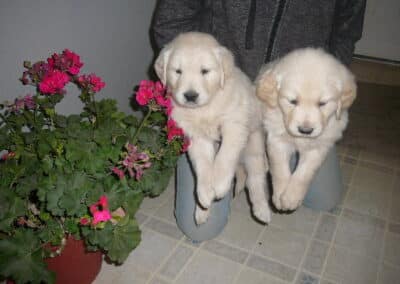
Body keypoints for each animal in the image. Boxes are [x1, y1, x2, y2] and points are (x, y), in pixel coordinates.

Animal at [155, 32, 270, 224]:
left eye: (205, 71)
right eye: (177, 71)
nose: (190, 96)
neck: (205, 108)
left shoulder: (234, 124)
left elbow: (225, 155)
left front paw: (220, 184)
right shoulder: (196, 137)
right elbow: (203, 165)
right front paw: (204, 194)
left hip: (253, 145)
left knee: (255, 179)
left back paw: (262, 210)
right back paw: (202, 212)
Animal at [256, 47, 356, 210]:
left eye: (322, 103)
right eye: (292, 101)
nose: (305, 130)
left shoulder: (319, 145)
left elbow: (304, 172)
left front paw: (291, 197)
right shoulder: (277, 139)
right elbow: (279, 168)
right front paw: (279, 195)